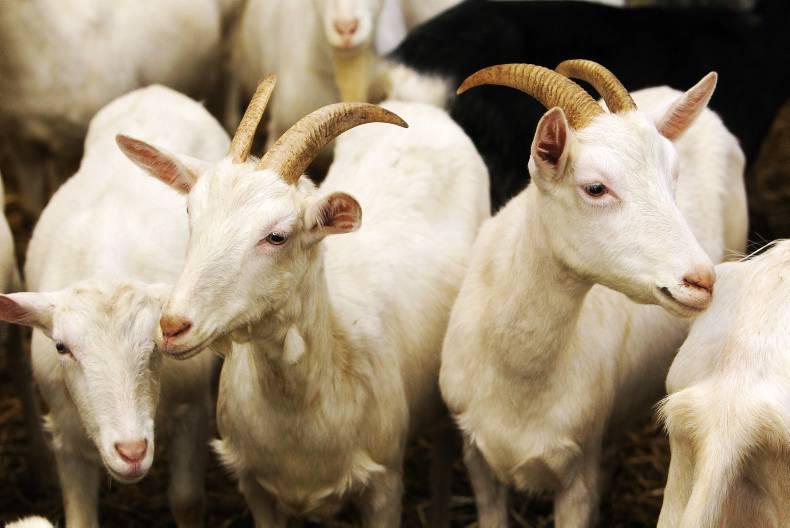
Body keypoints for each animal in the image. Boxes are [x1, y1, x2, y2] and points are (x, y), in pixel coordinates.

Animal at [0, 85, 228, 528]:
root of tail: (155, 91)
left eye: (155, 344)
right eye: (61, 347)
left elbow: (187, 500)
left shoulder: (192, 407)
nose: (132, 451)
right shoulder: (67, 434)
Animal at [117, 77, 490, 526]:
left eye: (277, 236)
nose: (173, 326)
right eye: (191, 212)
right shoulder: (255, 486)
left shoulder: (384, 484)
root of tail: (422, 106)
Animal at [438, 61, 747, 527]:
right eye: (595, 188)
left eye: (674, 177)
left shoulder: (576, 474)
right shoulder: (476, 458)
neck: (517, 375)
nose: (701, 280)